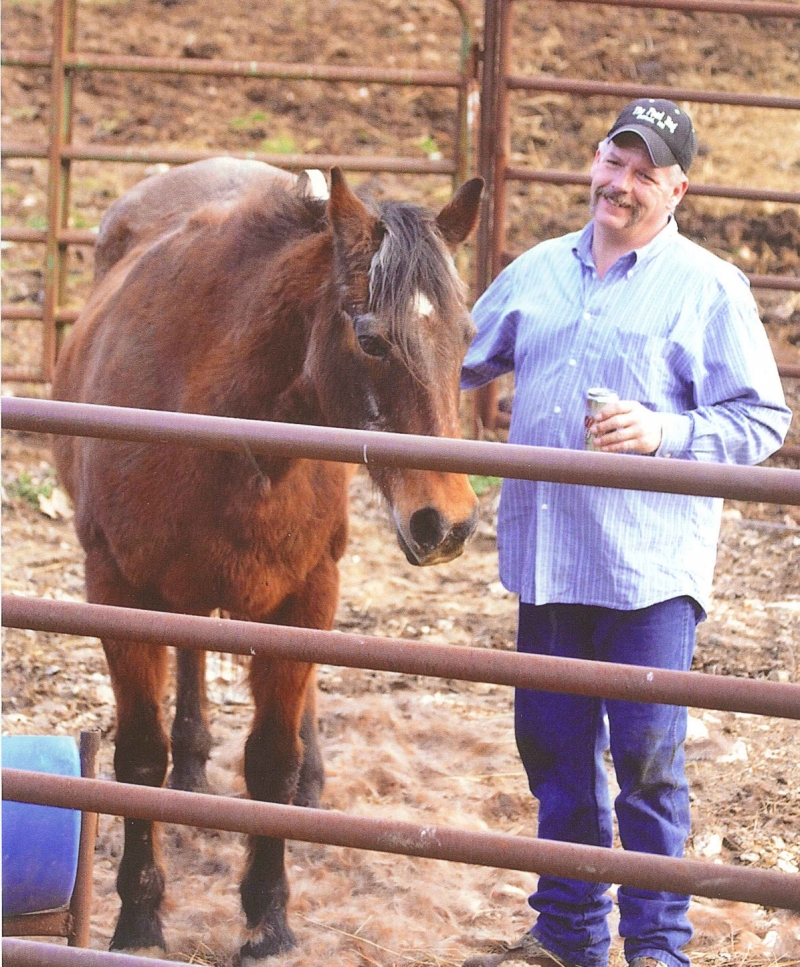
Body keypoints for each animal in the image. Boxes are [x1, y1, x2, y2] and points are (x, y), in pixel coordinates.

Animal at [54, 157, 488, 960]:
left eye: (466, 336)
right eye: (371, 340)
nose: (445, 522)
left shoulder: (306, 594)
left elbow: (272, 761)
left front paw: (269, 918)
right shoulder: (117, 588)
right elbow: (137, 759)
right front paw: (139, 917)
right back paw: (192, 766)